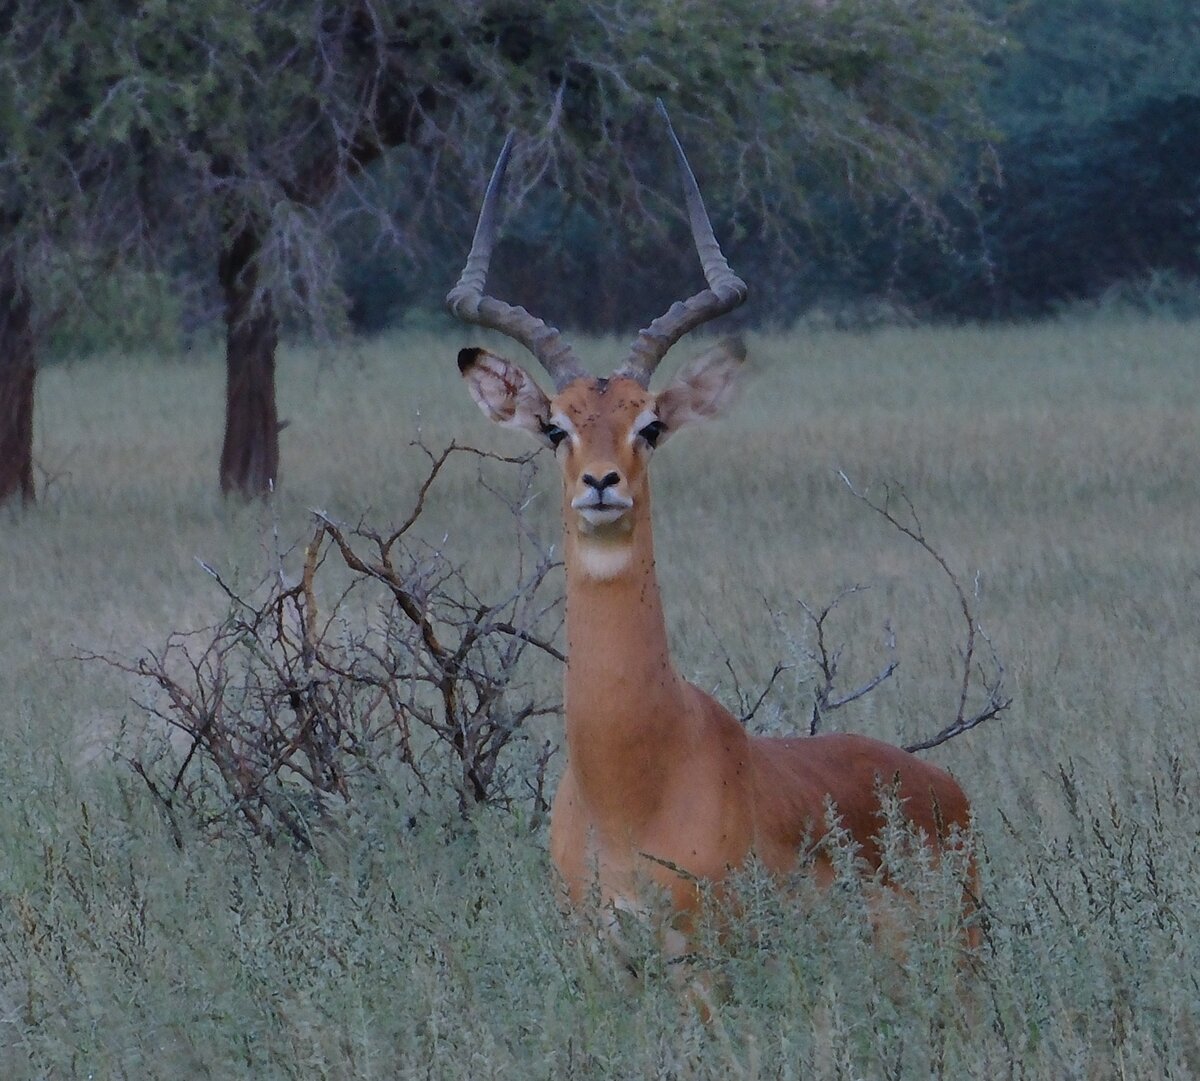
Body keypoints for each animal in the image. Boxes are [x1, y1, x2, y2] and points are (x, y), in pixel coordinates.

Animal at [447, 105, 976, 949]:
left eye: (652, 424)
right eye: (555, 426)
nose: (603, 484)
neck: (632, 783)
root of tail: (944, 789)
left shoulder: (705, 954)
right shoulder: (597, 953)